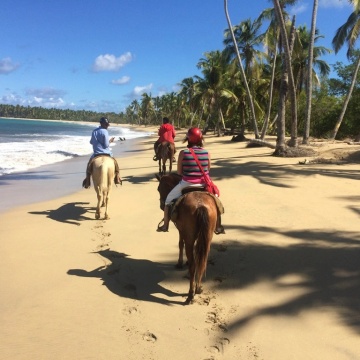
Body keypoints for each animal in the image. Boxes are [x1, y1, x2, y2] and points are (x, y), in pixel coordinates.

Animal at [154, 173, 217, 302]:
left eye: (158, 189)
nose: (162, 206)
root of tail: (201, 205)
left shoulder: (181, 230)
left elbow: (180, 244)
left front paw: (180, 263)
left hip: (189, 236)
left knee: (194, 264)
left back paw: (191, 294)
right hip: (208, 236)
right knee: (202, 260)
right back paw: (198, 288)